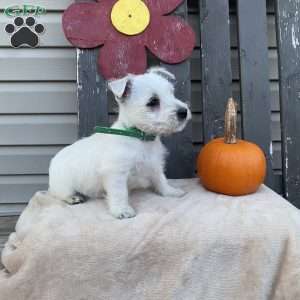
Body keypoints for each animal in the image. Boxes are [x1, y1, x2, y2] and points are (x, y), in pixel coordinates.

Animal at [48, 67, 191, 219]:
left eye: (172, 93)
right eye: (153, 101)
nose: (184, 112)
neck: (139, 137)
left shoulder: (154, 165)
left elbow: (161, 179)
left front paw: (170, 191)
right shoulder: (116, 173)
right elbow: (119, 193)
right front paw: (122, 210)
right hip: (63, 184)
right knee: (60, 194)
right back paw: (73, 197)